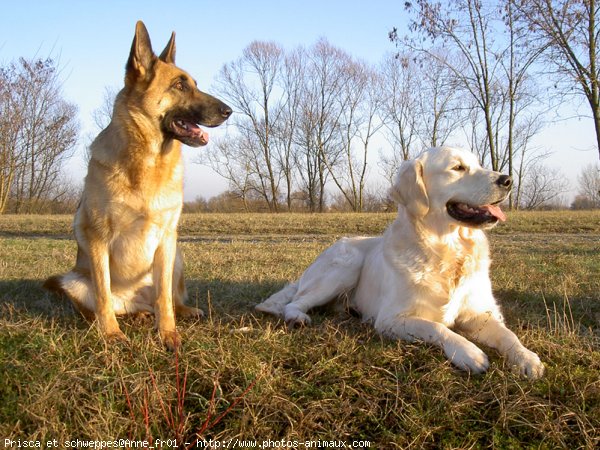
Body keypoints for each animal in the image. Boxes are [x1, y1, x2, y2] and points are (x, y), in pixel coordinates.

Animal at [44, 20, 232, 352]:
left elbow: (164, 298)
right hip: (74, 281)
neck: (148, 162)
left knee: (165, 299)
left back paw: (178, 312)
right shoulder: (98, 238)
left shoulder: (167, 237)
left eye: (195, 84)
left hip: (177, 257)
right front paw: (111, 335)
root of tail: (135, 300)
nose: (229, 111)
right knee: (107, 305)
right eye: (179, 85)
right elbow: (103, 296)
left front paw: (168, 334)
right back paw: (129, 319)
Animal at [255, 146, 548, 378]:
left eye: (478, 164)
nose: (508, 180)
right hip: (345, 265)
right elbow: (436, 327)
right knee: (295, 302)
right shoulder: (392, 318)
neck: (448, 251)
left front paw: (527, 358)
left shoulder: (480, 312)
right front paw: (469, 352)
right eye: (458, 168)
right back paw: (297, 317)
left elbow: (507, 334)